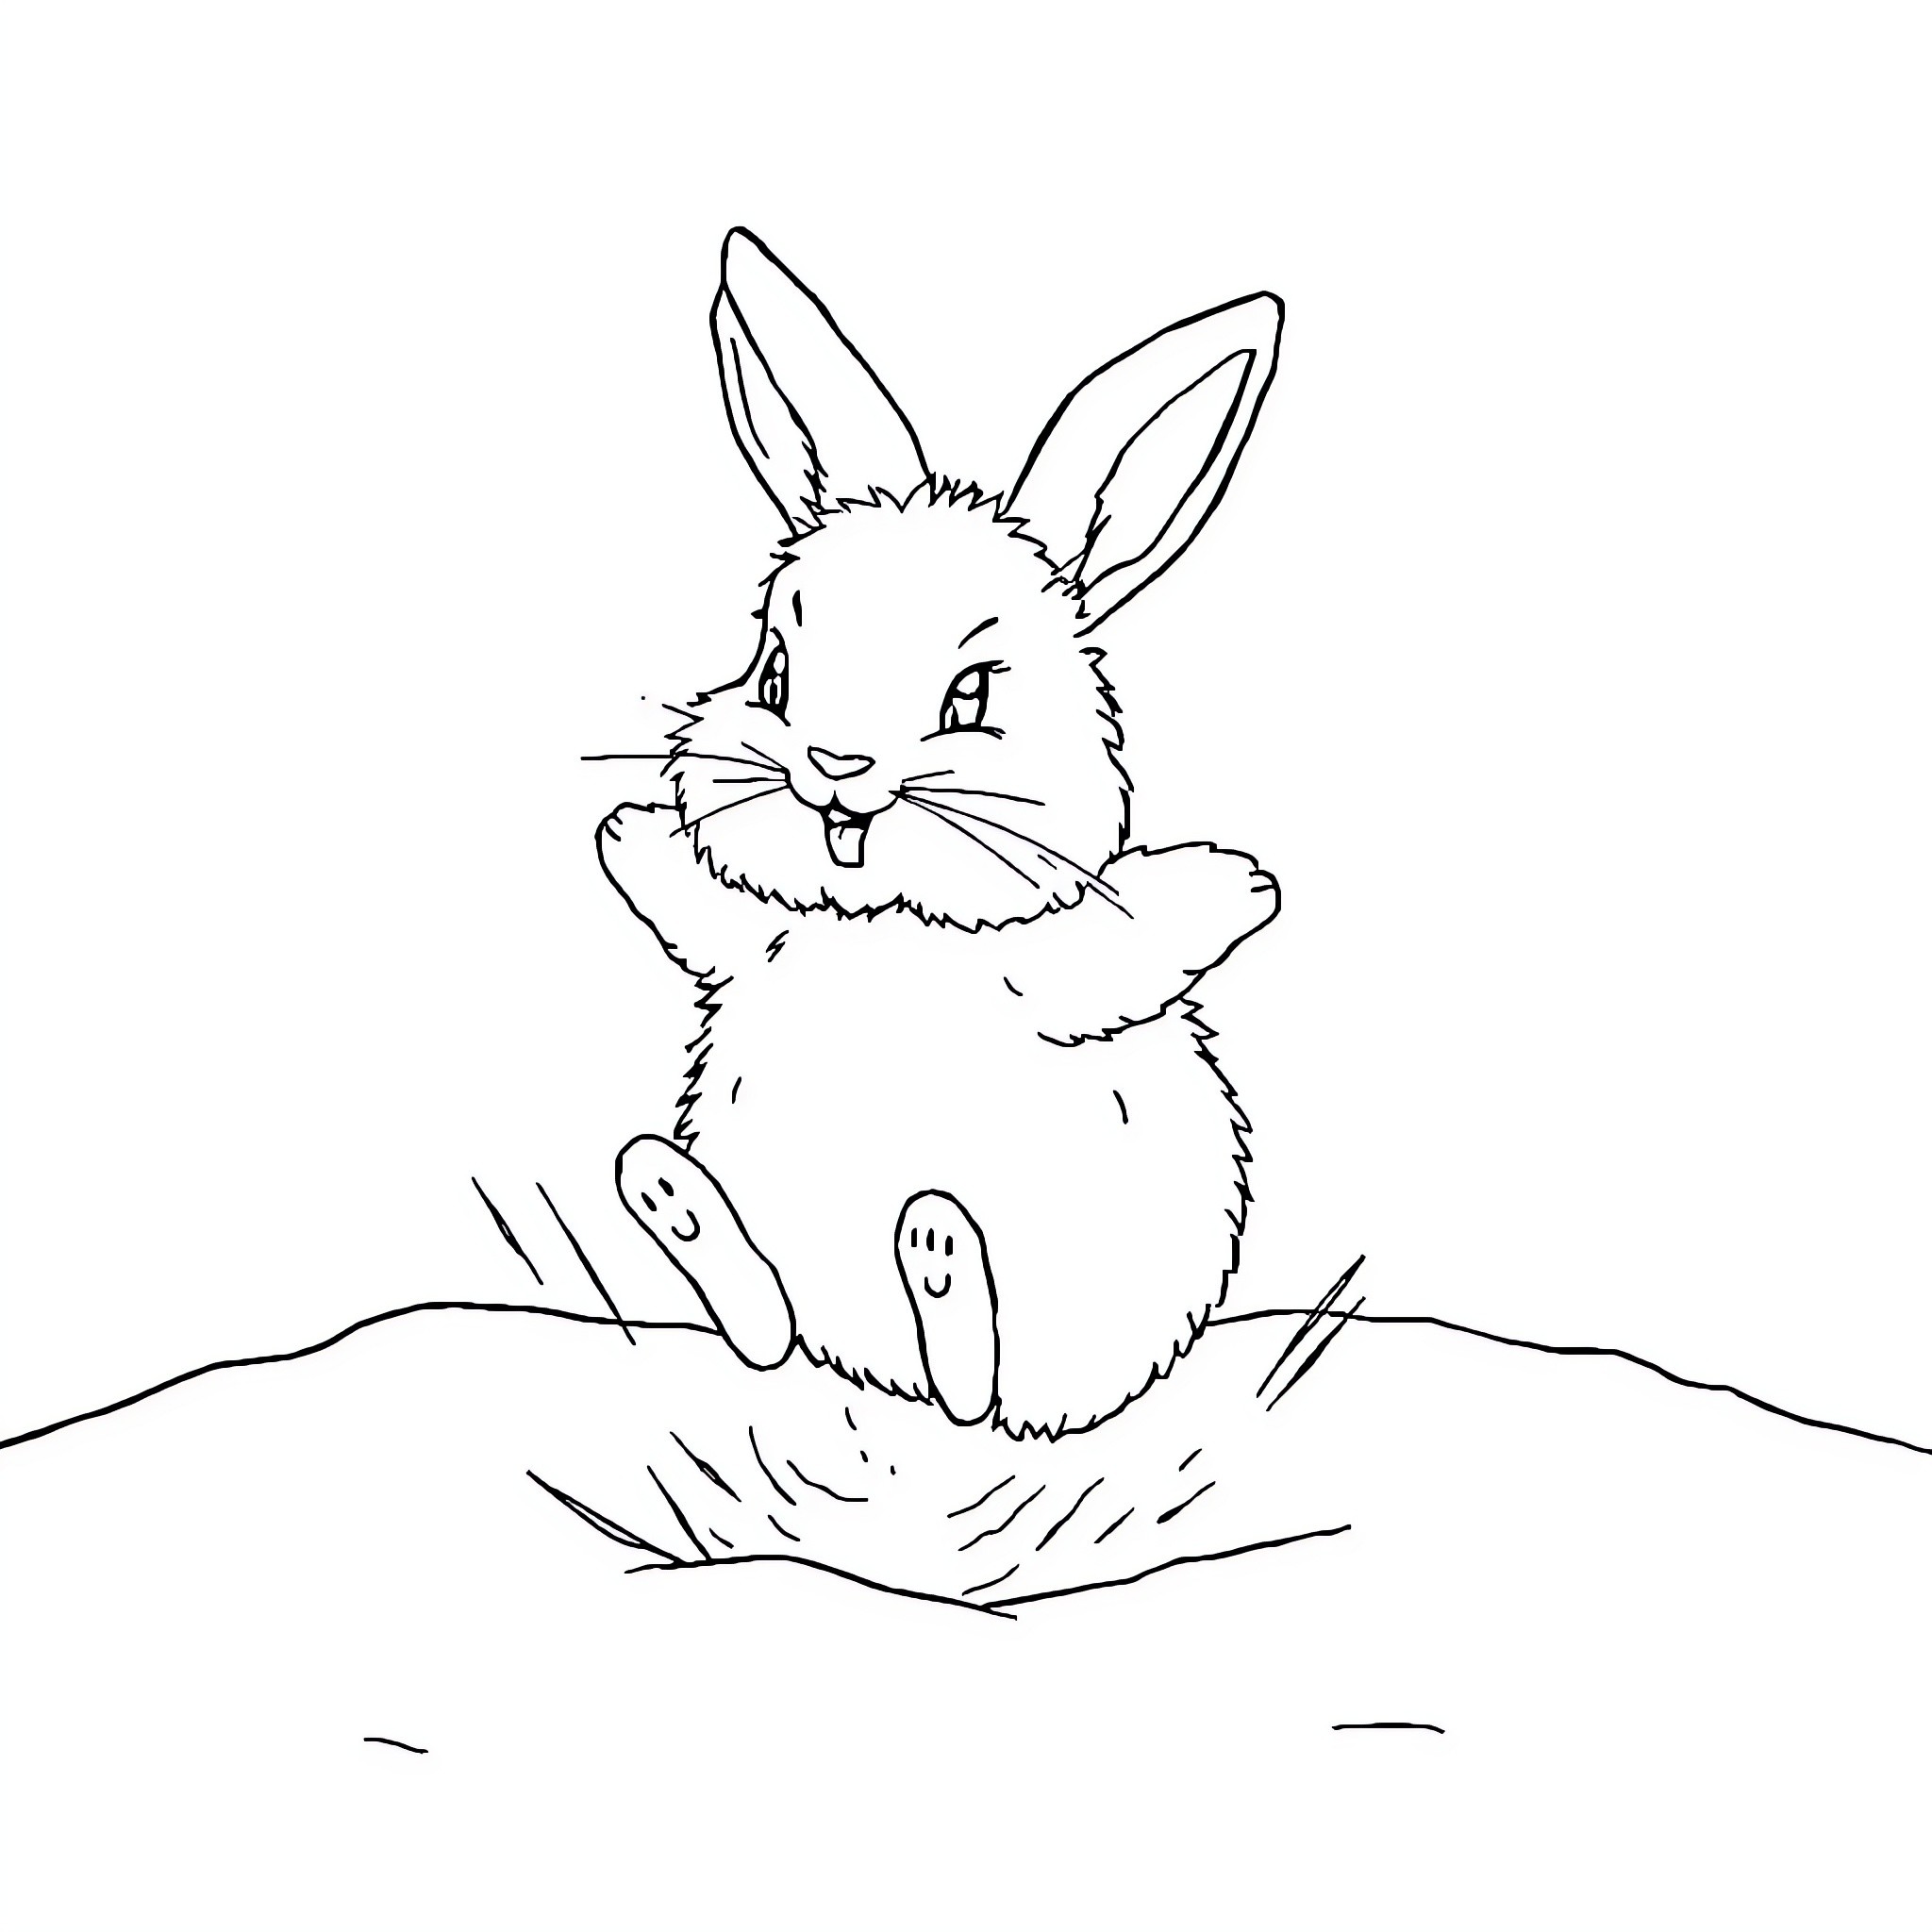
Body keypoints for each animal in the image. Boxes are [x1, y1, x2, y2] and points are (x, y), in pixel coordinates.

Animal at [599, 228, 1283, 1438]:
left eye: (971, 695)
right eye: (775, 675)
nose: (834, 772)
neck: (883, 931)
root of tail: (887, 1376)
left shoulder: (1055, 968)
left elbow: (1126, 943)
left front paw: (1238, 885)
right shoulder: (758, 941)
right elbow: (702, 912)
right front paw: (625, 831)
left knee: (976, 1389)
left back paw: (935, 1253)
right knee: (771, 1329)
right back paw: (675, 1199)